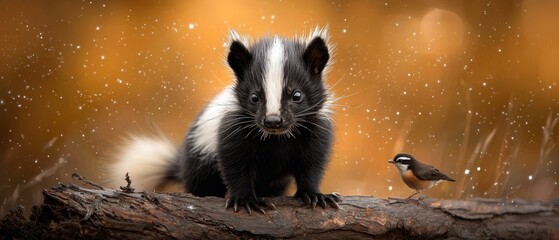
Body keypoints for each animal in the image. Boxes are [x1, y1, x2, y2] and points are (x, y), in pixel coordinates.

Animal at [107, 26, 340, 214]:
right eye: (254, 97)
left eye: (297, 95)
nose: (273, 121)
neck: (277, 140)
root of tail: (181, 166)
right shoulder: (233, 130)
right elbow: (235, 165)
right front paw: (245, 200)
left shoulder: (315, 130)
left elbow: (312, 164)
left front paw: (314, 195)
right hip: (200, 165)